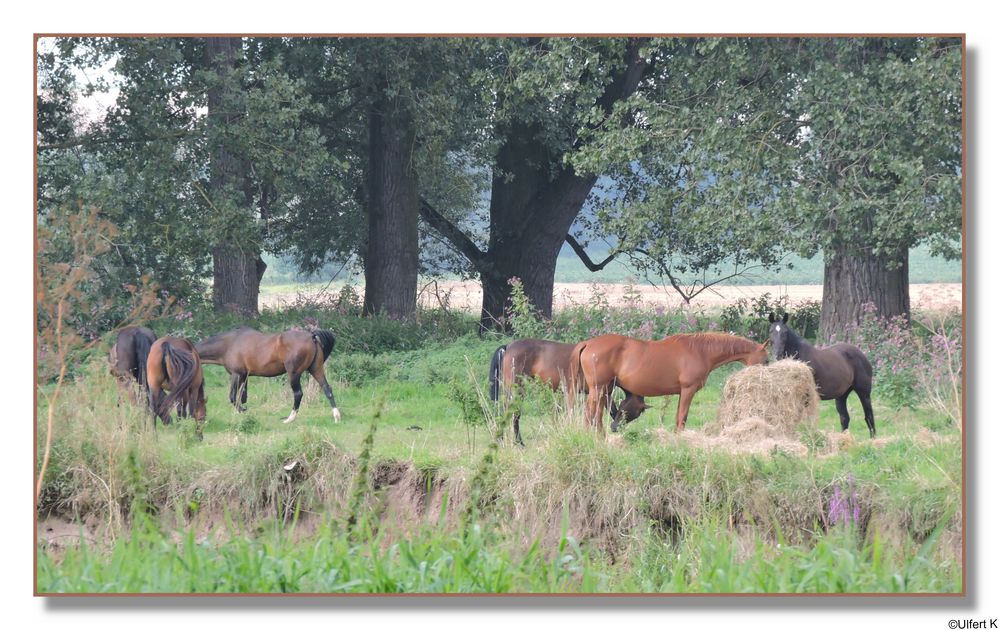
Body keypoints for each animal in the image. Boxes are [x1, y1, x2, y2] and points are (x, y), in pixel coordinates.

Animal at [193, 328, 342, 428]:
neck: (229, 344)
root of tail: (312, 336)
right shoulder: (244, 376)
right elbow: (242, 396)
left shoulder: (236, 375)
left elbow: (232, 397)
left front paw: (241, 410)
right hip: (316, 369)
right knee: (327, 389)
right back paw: (336, 416)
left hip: (294, 374)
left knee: (298, 394)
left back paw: (289, 419)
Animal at [490, 338, 648, 446]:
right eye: (633, 412)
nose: (615, 428)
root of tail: (508, 346)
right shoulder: (599, 392)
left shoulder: (605, 394)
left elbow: (607, 411)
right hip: (516, 389)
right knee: (512, 414)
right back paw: (515, 442)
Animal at [572, 330, 772, 434]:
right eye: (766, 360)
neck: (701, 351)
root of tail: (588, 343)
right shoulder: (688, 389)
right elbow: (682, 417)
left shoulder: (682, 392)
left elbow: (678, 417)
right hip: (598, 388)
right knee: (590, 413)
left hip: (604, 389)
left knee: (596, 414)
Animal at [764, 312, 876, 440]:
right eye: (771, 331)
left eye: (785, 332)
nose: (777, 354)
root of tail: (862, 355)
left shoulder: (806, 396)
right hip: (841, 396)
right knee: (845, 418)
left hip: (864, 393)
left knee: (869, 416)